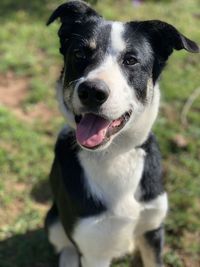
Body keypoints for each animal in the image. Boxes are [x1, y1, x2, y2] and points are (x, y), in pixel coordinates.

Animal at [44, 1, 199, 266]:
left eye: (131, 60)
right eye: (79, 54)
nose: (92, 91)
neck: (115, 153)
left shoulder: (153, 229)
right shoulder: (93, 248)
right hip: (53, 221)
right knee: (65, 246)